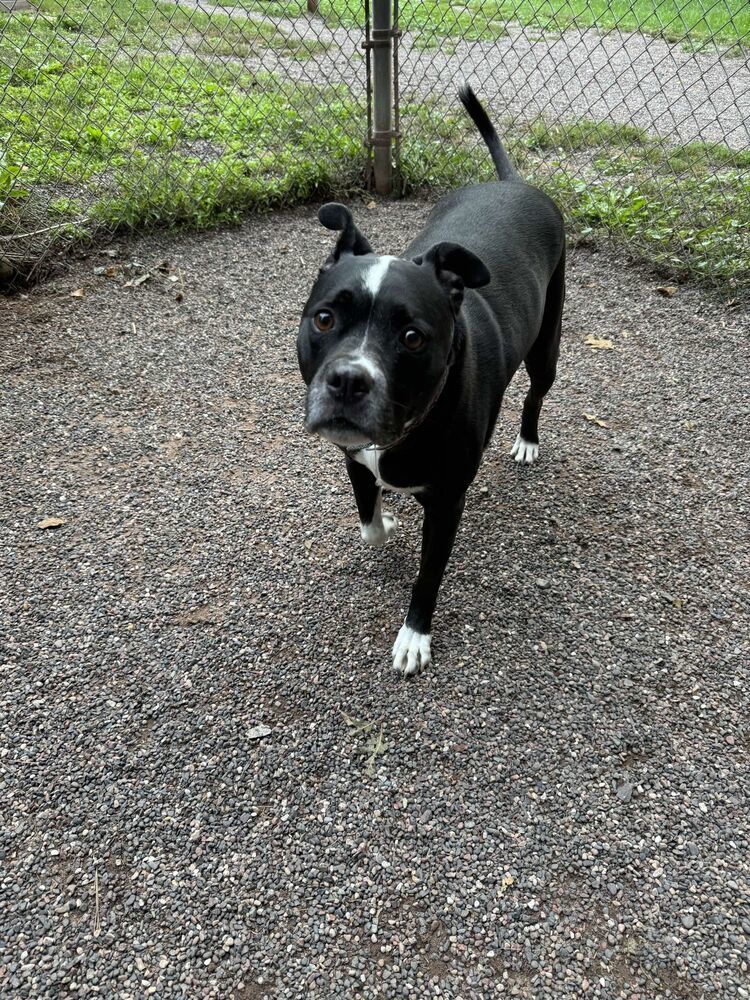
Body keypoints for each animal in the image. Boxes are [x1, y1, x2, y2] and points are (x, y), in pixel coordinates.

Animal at [296, 86, 564, 676]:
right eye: (324, 319)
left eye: (413, 337)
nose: (348, 381)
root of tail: (513, 182)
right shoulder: (356, 460)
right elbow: (369, 522)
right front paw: (388, 525)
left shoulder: (445, 507)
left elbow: (428, 576)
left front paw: (415, 636)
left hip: (548, 344)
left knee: (536, 391)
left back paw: (527, 440)